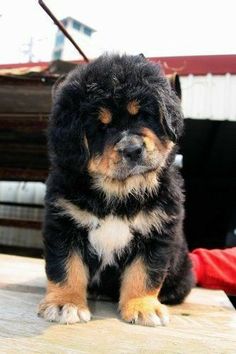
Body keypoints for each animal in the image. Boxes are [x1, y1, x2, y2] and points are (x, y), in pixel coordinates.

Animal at [38, 54, 194, 328]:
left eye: (143, 115)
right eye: (100, 127)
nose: (132, 149)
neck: (119, 194)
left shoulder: (157, 233)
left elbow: (145, 274)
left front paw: (143, 307)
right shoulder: (63, 224)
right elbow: (66, 268)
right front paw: (65, 304)